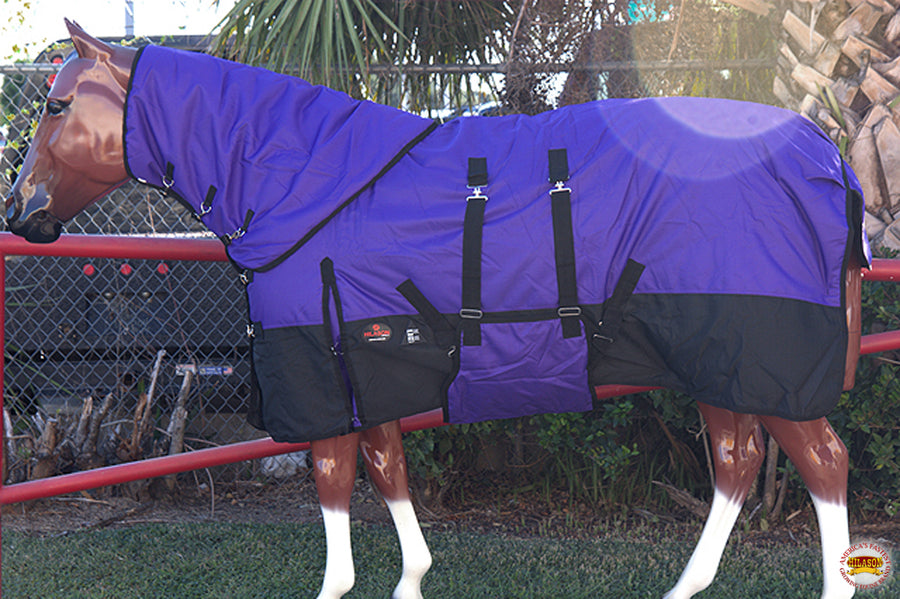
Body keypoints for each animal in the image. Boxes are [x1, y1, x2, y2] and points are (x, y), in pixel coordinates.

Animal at [4, 20, 868, 599]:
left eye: (56, 106)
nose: (21, 212)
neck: (302, 177)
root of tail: (826, 154)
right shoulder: (369, 358)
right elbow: (387, 468)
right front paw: (411, 577)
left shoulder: (325, 365)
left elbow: (333, 475)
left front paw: (340, 584)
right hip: (721, 357)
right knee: (738, 460)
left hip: (763, 355)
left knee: (823, 462)